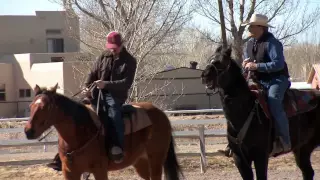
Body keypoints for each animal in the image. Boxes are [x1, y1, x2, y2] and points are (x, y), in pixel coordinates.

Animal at [23, 83, 182, 179]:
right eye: (31, 105)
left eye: (46, 107)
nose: (28, 131)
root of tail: (161, 114)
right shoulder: (69, 172)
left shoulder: (99, 170)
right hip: (140, 162)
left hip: (156, 159)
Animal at [201, 44, 320, 179]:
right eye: (209, 59)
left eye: (221, 61)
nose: (204, 75)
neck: (246, 112)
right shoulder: (239, 158)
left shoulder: (260, 156)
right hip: (303, 148)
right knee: (308, 172)